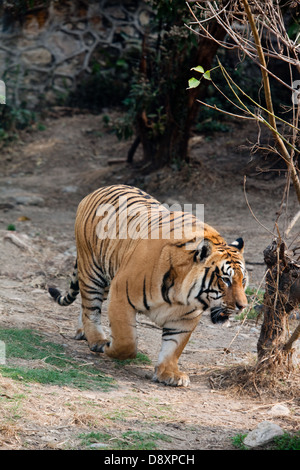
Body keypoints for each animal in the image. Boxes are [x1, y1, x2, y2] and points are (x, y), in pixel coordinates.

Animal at [48, 185, 247, 388]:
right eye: (226, 280)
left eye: (243, 280)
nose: (243, 306)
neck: (181, 296)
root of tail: (98, 189)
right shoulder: (121, 295)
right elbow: (126, 342)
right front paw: (109, 347)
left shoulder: (185, 318)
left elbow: (173, 346)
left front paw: (169, 373)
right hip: (93, 272)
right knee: (91, 307)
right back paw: (97, 339)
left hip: (106, 278)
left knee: (85, 305)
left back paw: (83, 332)